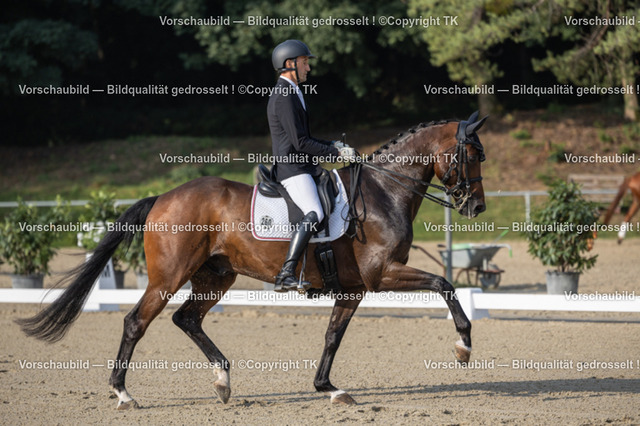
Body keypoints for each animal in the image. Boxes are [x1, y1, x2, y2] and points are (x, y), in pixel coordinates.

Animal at [17, 112, 488, 409]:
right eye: (471, 155)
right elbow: (445, 284)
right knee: (137, 321)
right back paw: (123, 395)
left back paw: (223, 381)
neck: (382, 192)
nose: (476, 207)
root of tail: (163, 197)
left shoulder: (353, 289)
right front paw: (464, 346)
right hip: (169, 276)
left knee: (186, 319)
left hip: (215, 277)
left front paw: (328, 388)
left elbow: (332, 337)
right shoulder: (381, 275)